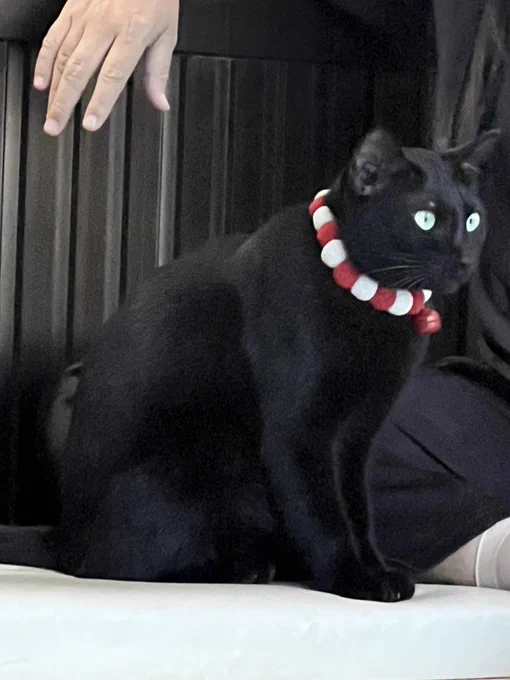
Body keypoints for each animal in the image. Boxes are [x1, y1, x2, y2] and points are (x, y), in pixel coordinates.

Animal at [42, 128, 497, 602]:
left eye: (473, 220)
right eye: (424, 219)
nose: (465, 259)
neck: (372, 302)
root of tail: (61, 539)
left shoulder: (357, 435)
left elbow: (358, 509)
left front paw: (376, 568)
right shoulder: (299, 433)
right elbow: (324, 514)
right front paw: (353, 579)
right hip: (206, 460)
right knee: (121, 564)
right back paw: (244, 569)